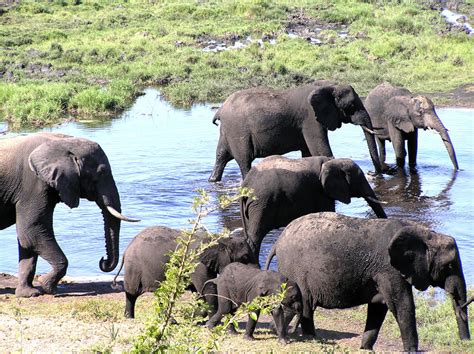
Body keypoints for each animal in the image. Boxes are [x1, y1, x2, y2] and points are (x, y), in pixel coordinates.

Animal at [0, 132, 139, 296]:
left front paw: (29, 293)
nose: (103, 261)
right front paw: (48, 287)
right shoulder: (33, 184)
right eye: (101, 173)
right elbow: (32, 231)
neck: (63, 141)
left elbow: (28, 238)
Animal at [113, 225, 256, 320]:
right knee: (132, 293)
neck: (220, 239)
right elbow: (207, 288)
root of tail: (126, 249)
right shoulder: (197, 263)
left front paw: (197, 317)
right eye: (245, 257)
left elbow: (199, 290)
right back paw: (130, 318)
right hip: (135, 267)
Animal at [209, 81, 384, 181]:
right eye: (351, 106)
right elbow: (320, 150)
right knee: (244, 161)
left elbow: (308, 153)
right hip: (237, 130)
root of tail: (220, 109)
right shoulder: (311, 119)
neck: (327, 87)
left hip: (228, 131)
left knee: (221, 156)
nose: (374, 174)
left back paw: (213, 180)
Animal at [266, 212, 470, 352]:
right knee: (304, 305)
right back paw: (310, 338)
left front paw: (365, 349)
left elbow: (378, 308)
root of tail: (277, 242)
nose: (466, 342)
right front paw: (412, 350)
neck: (425, 233)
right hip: (296, 270)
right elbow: (402, 305)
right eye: (449, 265)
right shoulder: (389, 269)